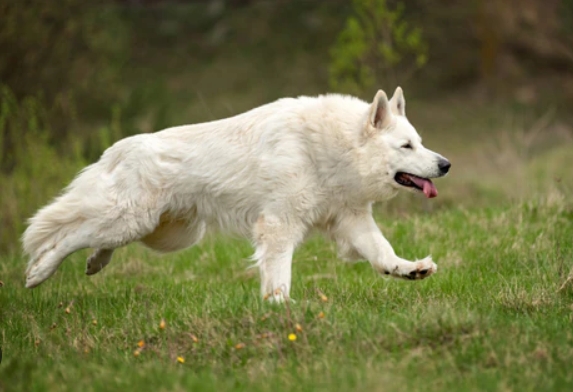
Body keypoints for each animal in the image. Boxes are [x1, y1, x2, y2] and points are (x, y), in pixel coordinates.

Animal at [22, 86, 450, 300]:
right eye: (406, 146)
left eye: (420, 142)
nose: (445, 165)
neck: (331, 147)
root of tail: (119, 147)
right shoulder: (279, 225)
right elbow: (279, 274)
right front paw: (280, 308)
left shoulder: (352, 220)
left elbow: (384, 254)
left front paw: (410, 270)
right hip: (130, 220)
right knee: (68, 234)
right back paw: (38, 273)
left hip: (166, 233)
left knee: (94, 239)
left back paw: (95, 262)